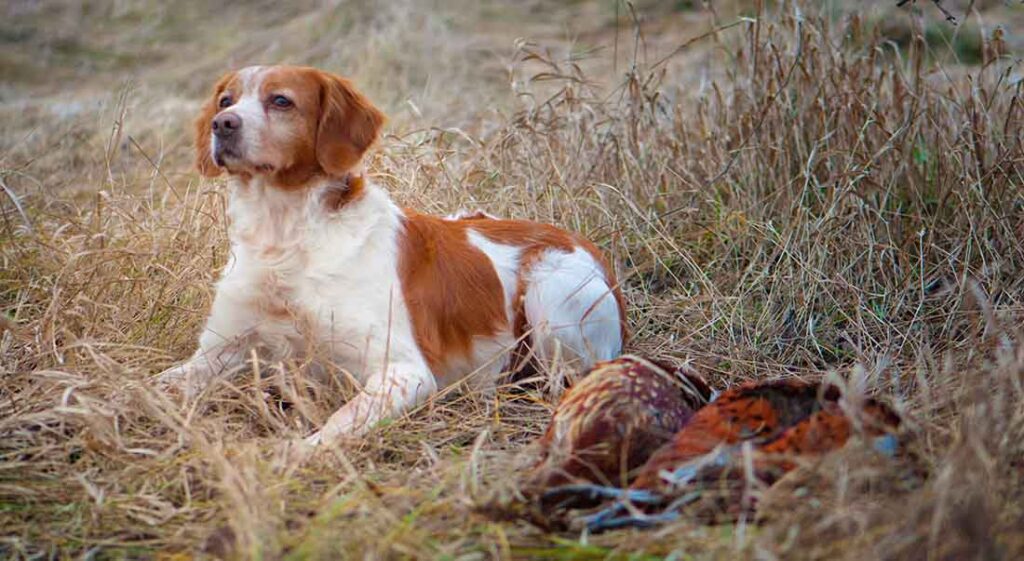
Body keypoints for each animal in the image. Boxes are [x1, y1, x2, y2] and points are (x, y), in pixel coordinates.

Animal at [158, 63, 622, 444]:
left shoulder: (405, 372)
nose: (222, 124)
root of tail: (584, 243)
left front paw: (289, 460)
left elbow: (336, 425)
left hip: (552, 293)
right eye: (226, 100)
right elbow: (154, 383)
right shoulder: (217, 351)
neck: (287, 237)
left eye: (281, 101)